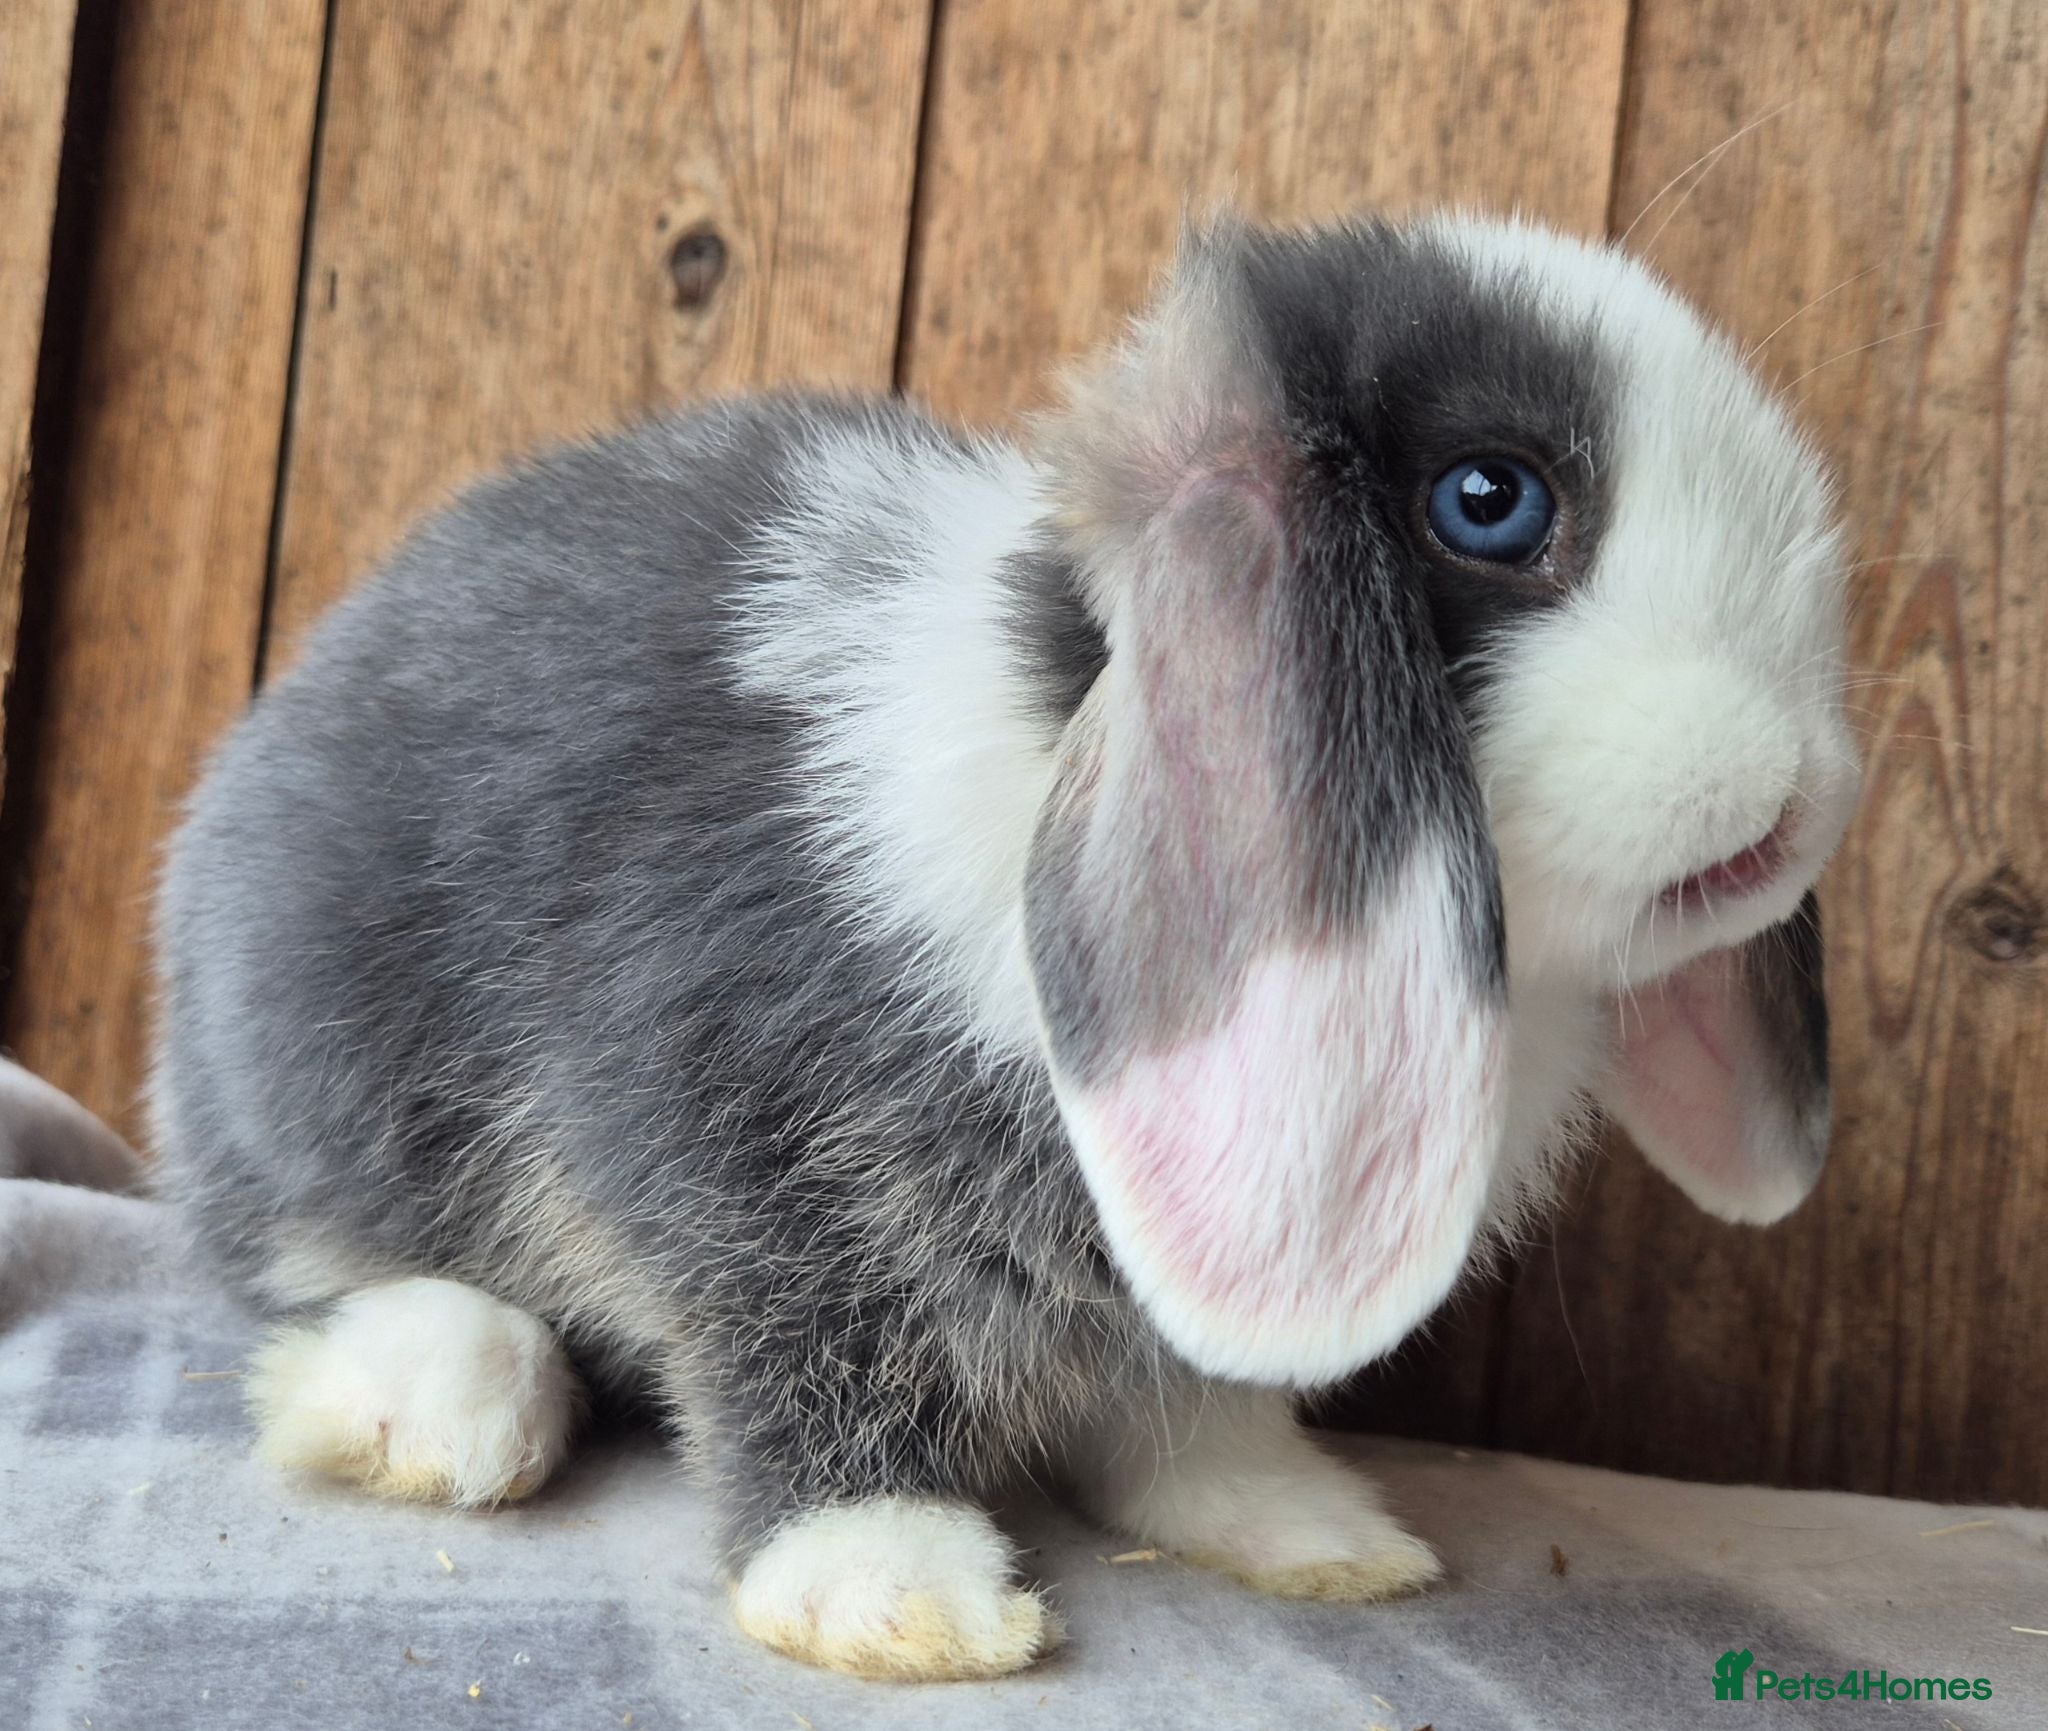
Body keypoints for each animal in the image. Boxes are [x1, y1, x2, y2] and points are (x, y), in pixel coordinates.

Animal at [131, 208, 1862, 1681]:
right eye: (1491, 501)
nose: (1797, 792)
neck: (1051, 719)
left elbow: (1203, 1404)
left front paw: (1311, 1529)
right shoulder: (741, 1141)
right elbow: (798, 1340)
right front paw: (894, 1587)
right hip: (309, 1085)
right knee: (299, 1267)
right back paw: (437, 1397)